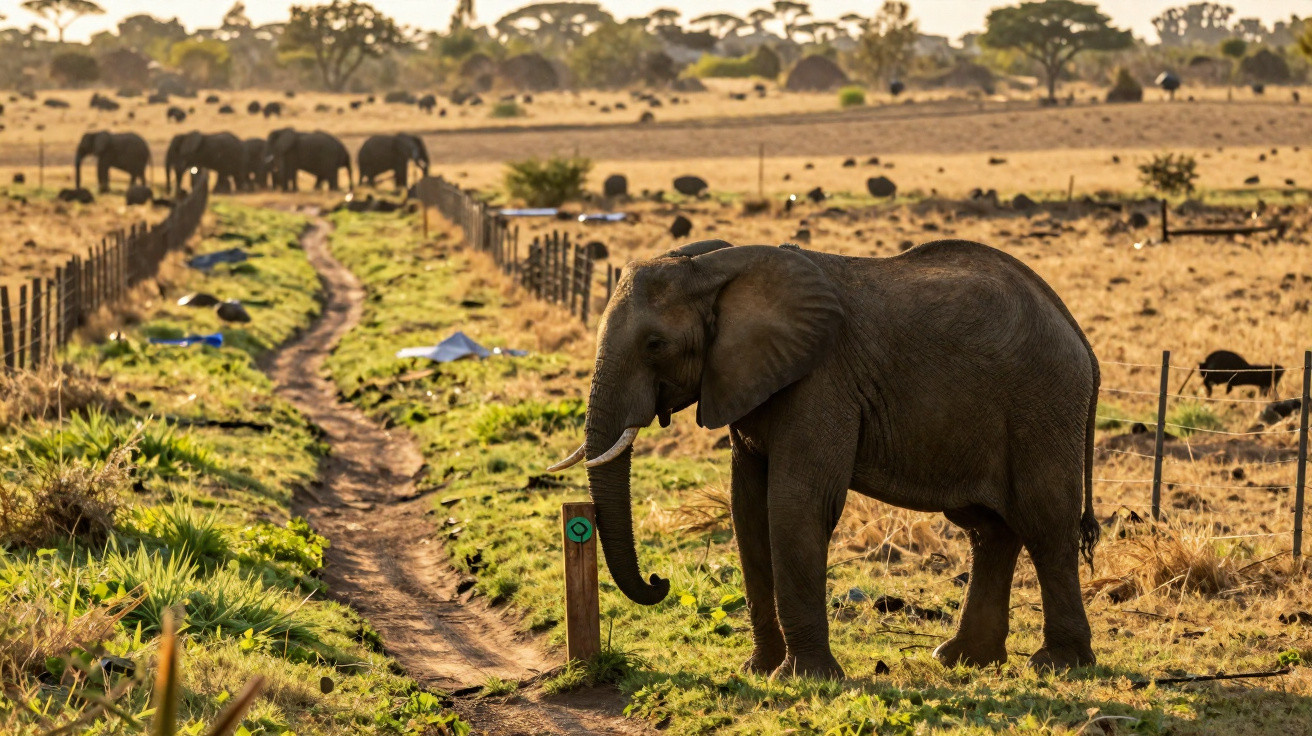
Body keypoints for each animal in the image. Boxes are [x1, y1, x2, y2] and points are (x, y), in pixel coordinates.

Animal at [547, 239, 1101, 679]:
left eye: (655, 344)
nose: (659, 581)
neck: (713, 270)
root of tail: (1079, 336)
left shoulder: (821, 381)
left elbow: (797, 505)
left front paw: (805, 678)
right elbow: (748, 510)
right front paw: (760, 670)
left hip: (1043, 404)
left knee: (1045, 523)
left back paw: (1056, 665)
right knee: (989, 529)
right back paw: (962, 659)